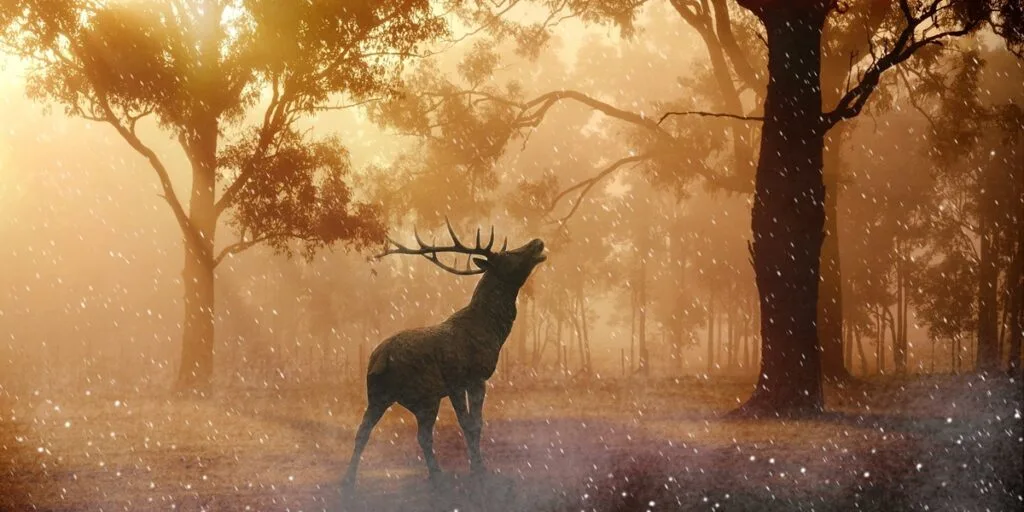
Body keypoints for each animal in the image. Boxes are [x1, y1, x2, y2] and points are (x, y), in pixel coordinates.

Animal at [342, 219, 547, 490]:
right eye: (508, 255)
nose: (537, 241)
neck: (491, 330)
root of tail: (380, 358)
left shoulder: (463, 383)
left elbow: (475, 424)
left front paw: (476, 467)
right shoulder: (466, 377)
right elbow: (471, 424)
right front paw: (479, 470)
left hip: (387, 394)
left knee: (373, 432)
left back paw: (352, 479)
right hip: (424, 392)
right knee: (417, 434)